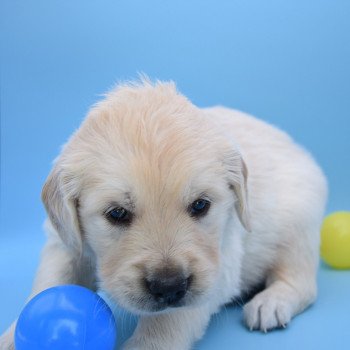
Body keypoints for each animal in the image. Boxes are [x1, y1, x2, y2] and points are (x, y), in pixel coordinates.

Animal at [0, 80, 328, 348]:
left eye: (201, 205)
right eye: (117, 213)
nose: (169, 286)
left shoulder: (218, 266)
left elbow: (165, 325)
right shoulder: (64, 242)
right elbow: (48, 284)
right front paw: (14, 337)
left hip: (298, 226)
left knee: (302, 282)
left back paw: (270, 303)